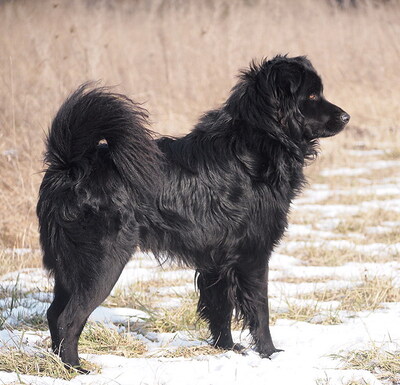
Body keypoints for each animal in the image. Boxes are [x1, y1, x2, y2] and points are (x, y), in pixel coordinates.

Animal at [38, 54, 350, 368]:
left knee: (54, 314)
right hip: (103, 262)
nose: (347, 117)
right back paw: (77, 368)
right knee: (68, 319)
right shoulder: (253, 255)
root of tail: (69, 166)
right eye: (312, 95)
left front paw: (227, 348)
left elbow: (220, 309)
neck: (259, 142)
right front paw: (269, 353)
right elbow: (260, 310)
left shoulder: (217, 260)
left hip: (68, 267)